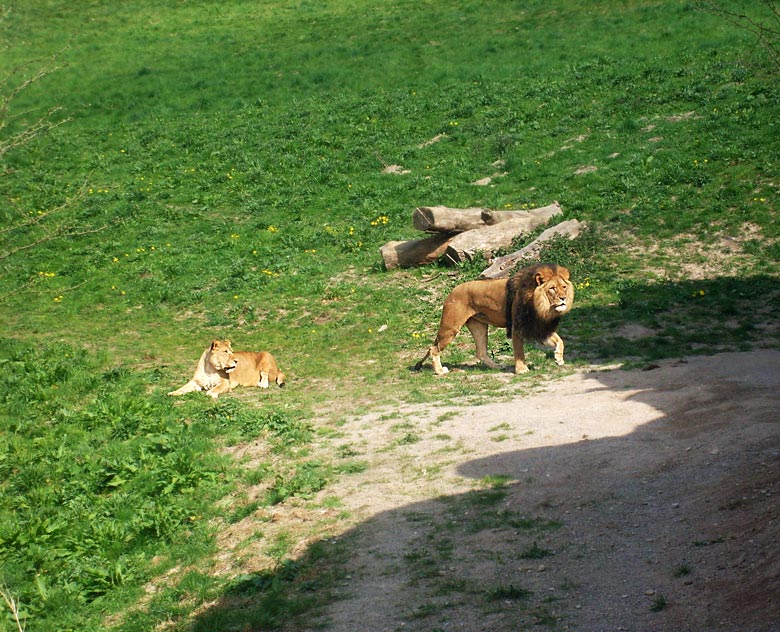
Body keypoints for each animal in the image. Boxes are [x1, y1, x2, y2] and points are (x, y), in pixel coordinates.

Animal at [414, 262, 572, 376]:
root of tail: (452, 291)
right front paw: (521, 369)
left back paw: (497, 366)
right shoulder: (517, 326)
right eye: (552, 288)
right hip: (451, 327)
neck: (541, 306)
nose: (563, 298)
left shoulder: (539, 326)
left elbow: (559, 340)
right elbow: (519, 350)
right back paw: (440, 371)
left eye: (564, 287)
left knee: (481, 352)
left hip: (479, 328)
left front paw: (559, 358)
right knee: (434, 349)